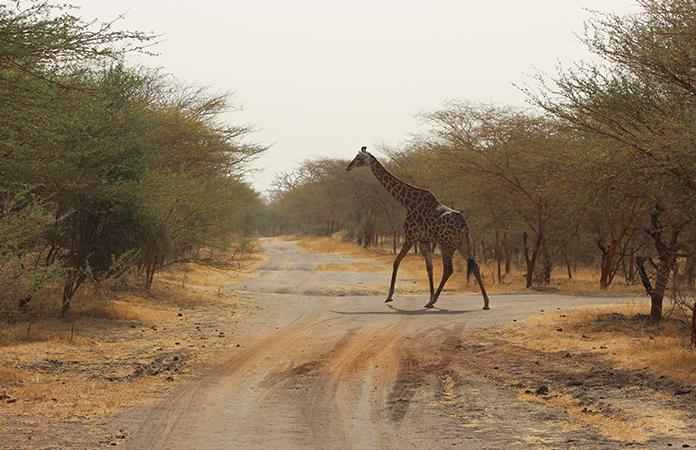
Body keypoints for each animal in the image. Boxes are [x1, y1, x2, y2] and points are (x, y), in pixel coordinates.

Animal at [346, 148, 490, 310]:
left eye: (358, 158)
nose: (348, 167)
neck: (407, 202)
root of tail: (465, 226)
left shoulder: (410, 236)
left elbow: (396, 262)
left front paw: (389, 296)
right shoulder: (423, 240)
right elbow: (429, 267)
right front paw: (430, 296)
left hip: (446, 244)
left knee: (448, 269)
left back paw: (433, 301)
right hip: (463, 243)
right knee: (475, 266)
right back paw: (485, 302)